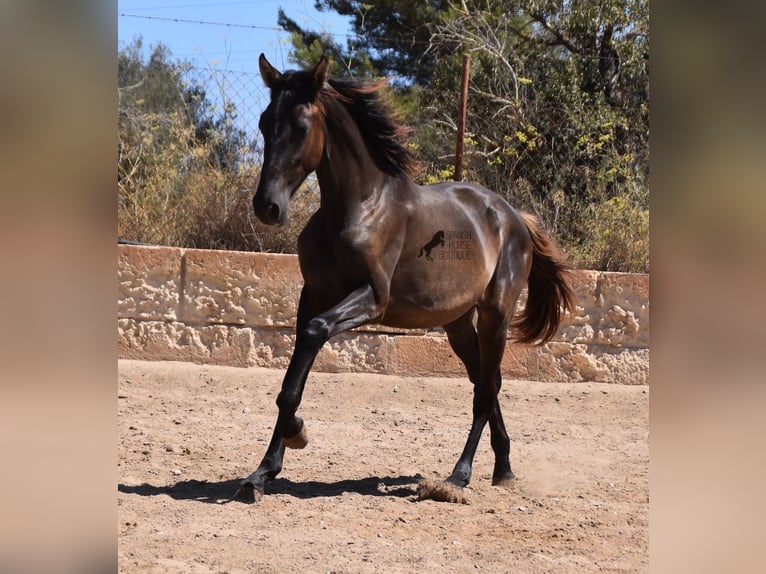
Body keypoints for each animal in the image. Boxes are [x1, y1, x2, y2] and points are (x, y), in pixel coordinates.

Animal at [242, 55, 576, 504]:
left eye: (301, 126)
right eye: (264, 122)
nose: (267, 207)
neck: (357, 208)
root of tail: (514, 216)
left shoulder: (371, 298)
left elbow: (312, 338)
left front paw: (297, 434)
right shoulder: (311, 296)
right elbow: (294, 378)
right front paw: (262, 473)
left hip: (496, 314)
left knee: (484, 391)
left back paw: (459, 475)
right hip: (458, 324)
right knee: (488, 382)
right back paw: (503, 468)